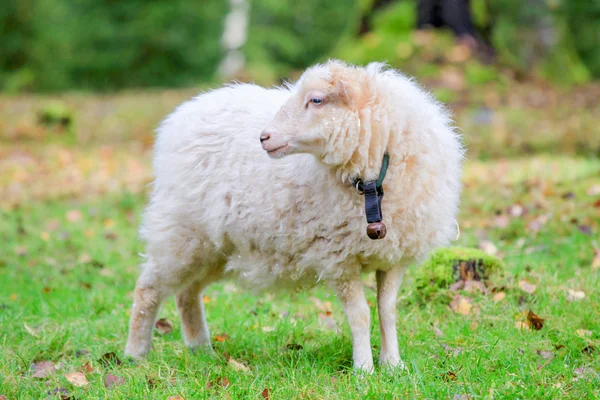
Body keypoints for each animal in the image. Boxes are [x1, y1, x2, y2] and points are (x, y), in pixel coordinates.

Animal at [125, 59, 464, 372]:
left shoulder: (394, 256)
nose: (264, 137)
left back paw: (201, 350)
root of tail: (183, 112)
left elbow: (387, 311)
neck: (370, 183)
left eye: (316, 99)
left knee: (187, 293)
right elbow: (360, 314)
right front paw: (364, 369)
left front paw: (393, 365)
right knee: (148, 288)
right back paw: (136, 353)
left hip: (214, 246)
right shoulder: (338, 256)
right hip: (180, 231)